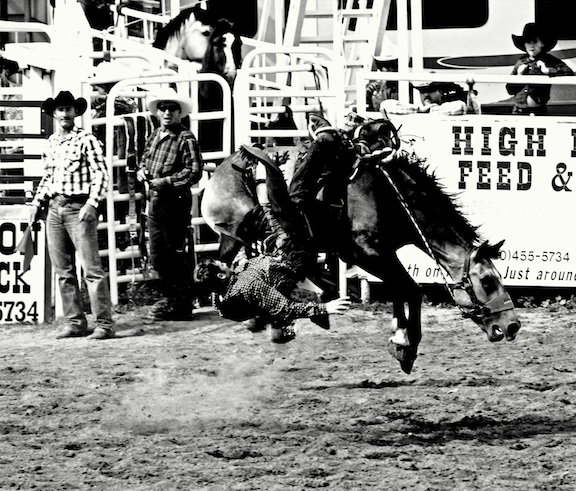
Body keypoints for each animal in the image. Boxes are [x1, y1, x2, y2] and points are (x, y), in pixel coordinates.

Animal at [202, 115, 520, 374]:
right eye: (488, 281)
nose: (512, 325)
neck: (389, 199)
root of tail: (223, 166)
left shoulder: (383, 253)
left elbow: (400, 289)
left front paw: (399, 334)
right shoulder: (365, 253)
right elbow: (411, 289)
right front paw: (404, 345)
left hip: (243, 239)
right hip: (240, 231)